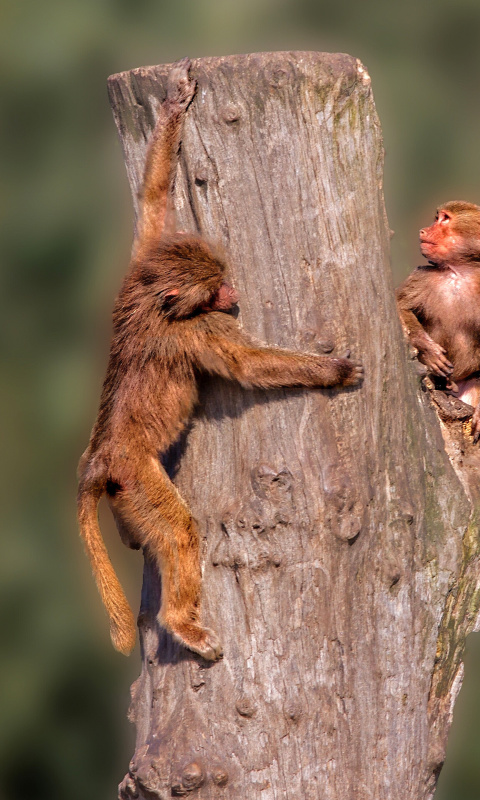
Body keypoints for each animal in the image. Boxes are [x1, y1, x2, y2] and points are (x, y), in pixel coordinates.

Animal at [78, 59, 364, 664]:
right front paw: (332, 372)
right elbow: (247, 363)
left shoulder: (143, 259)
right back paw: (184, 625)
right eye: (213, 292)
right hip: (135, 478)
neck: (151, 299)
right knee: (178, 531)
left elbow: (154, 201)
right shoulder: (196, 330)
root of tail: (99, 458)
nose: (233, 293)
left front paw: (174, 104)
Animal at [398, 198, 480, 440]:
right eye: (437, 217)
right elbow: (401, 307)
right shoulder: (421, 276)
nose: (423, 230)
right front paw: (429, 351)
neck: (460, 271)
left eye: (445, 219)